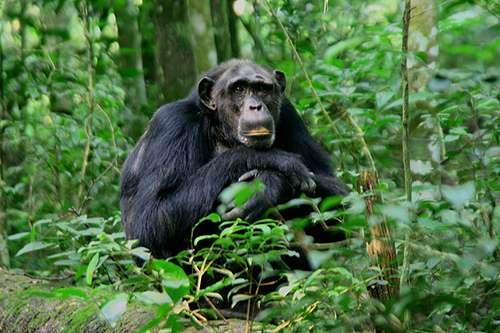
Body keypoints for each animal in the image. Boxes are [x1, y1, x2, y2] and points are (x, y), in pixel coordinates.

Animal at [120, 58, 348, 258]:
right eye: (239, 89)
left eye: (263, 89)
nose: (255, 106)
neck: (219, 128)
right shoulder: (172, 125)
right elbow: (149, 220)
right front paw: (272, 167)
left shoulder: (290, 115)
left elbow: (341, 203)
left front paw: (268, 185)